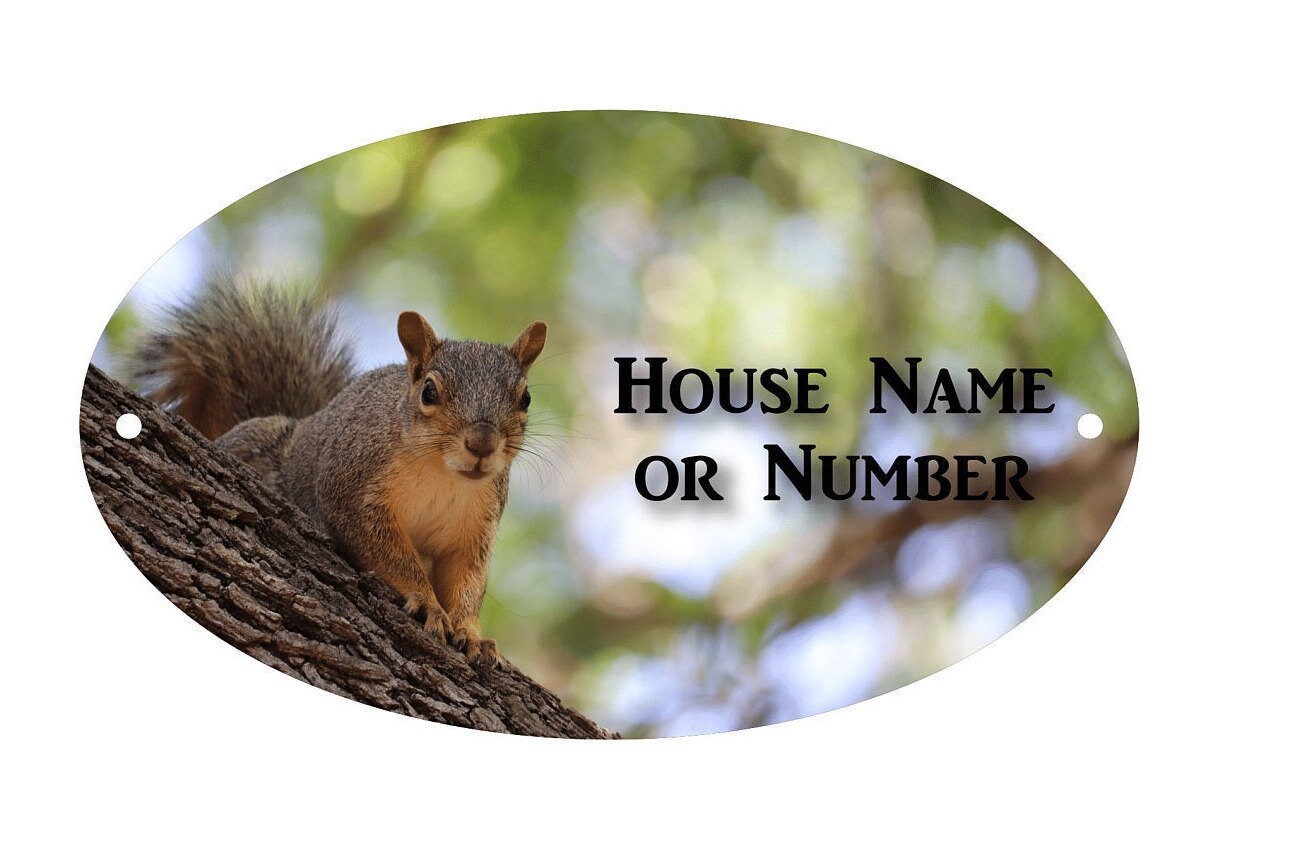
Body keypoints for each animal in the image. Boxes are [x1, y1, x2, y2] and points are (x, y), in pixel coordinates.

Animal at [136, 279, 547, 668]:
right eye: (429, 392)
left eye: (525, 398)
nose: (482, 444)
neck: (443, 476)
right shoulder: (351, 489)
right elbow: (387, 552)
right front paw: (427, 602)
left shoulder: (473, 528)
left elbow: (466, 580)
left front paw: (472, 633)